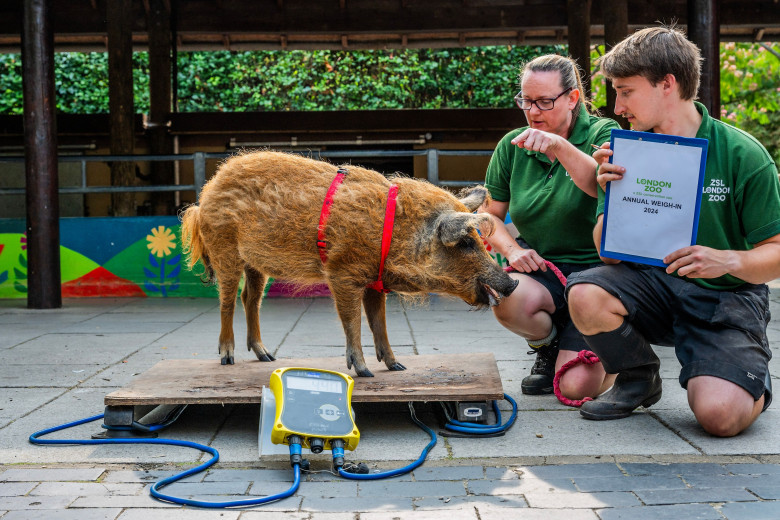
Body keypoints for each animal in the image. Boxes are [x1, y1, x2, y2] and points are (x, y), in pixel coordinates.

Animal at [180, 148, 516, 376]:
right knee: (227, 301)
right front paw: (364, 372)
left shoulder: (374, 281)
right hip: (225, 249)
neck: (395, 232)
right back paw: (227, 358)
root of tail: (206, 193)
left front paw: (397, 367)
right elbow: (352, 321)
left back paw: (267, 357)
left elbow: (379, 322)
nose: (512, 282)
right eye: (466, 242)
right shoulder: (342, 272)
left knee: (250, 298)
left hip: (255, 263)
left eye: (478, 240)